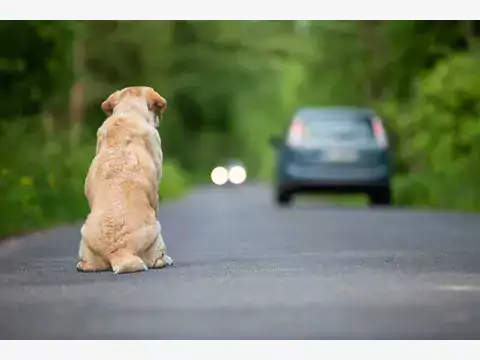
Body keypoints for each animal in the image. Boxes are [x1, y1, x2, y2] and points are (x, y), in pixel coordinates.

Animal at [75, 86, 172, 274]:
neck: (128, 112)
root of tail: (120, 252)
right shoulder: (155, 193)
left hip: (84, 234)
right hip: (156, 229)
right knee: (156, 258)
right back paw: (165, 260)